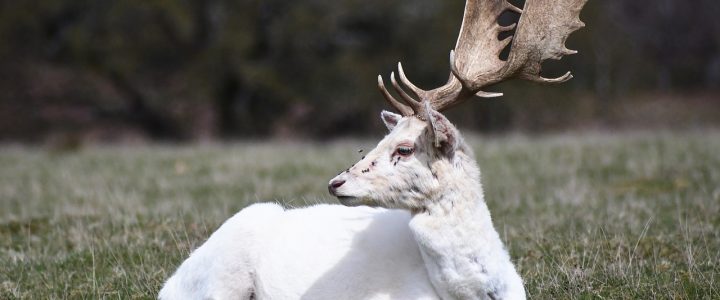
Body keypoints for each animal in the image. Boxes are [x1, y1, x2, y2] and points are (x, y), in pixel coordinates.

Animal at [159, 0, 584, 298]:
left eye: (406, 148)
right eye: (377, 142)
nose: (336, 182)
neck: (469, 295)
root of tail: (170, 284)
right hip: (222, 276)